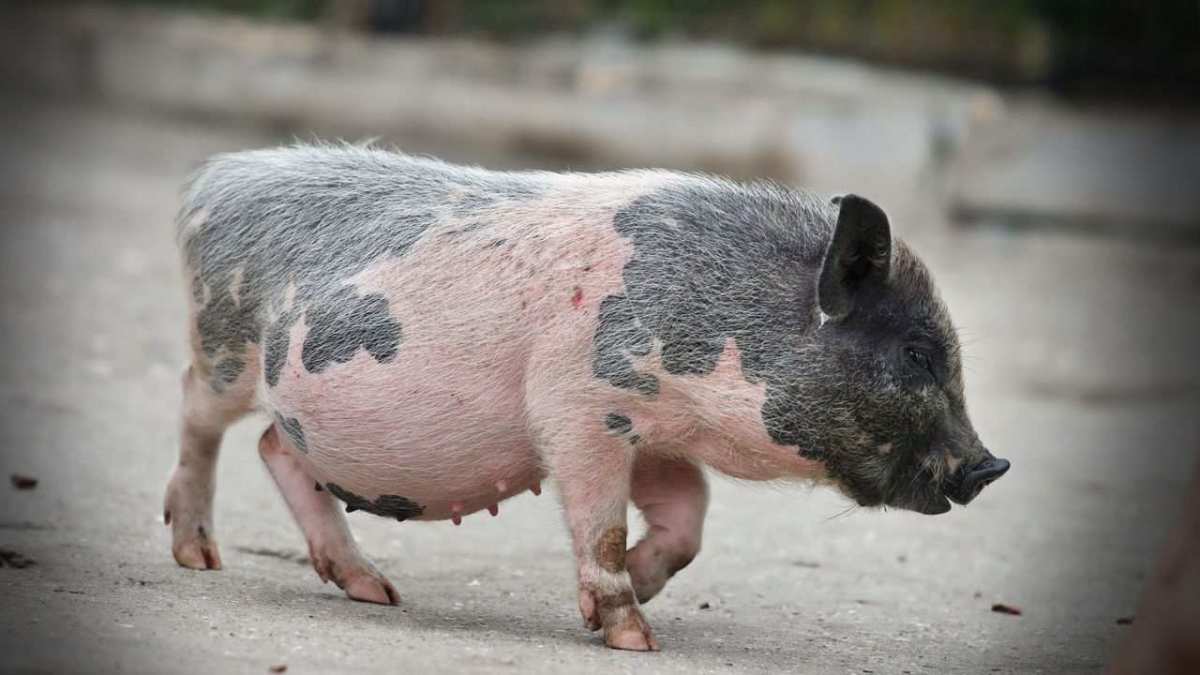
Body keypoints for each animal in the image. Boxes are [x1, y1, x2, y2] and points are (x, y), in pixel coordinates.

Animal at [164, 143, 1010, 651]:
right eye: (917, 352)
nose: (991, 465)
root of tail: (216, 176)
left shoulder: (656, 430)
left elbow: (688, 520)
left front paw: (632, 592)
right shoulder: (579, 413)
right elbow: (600, 526)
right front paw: (635, 637)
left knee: (276, 446)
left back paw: (377, 592)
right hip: (223, 344)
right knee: (199, 416)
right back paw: (197, 556)